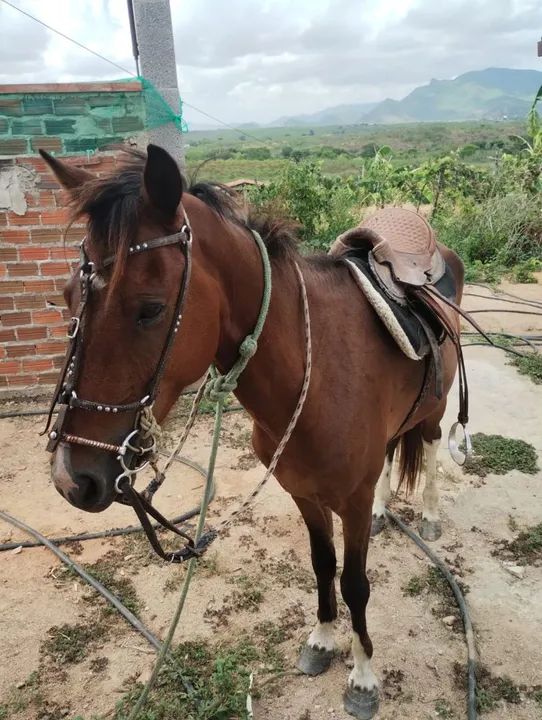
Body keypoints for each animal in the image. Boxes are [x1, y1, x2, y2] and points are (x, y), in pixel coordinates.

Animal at [41, 145, 464, 720]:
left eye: (150, 309)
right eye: (66, 298)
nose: (72, 479)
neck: (314, 371)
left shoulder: (348, 502)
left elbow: (355, 584)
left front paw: (362, 676)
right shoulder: (303, 492)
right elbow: (322, 564)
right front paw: (322, 639)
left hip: (435, 410)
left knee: (432, 446)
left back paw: (434, 516)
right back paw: (385, 512)